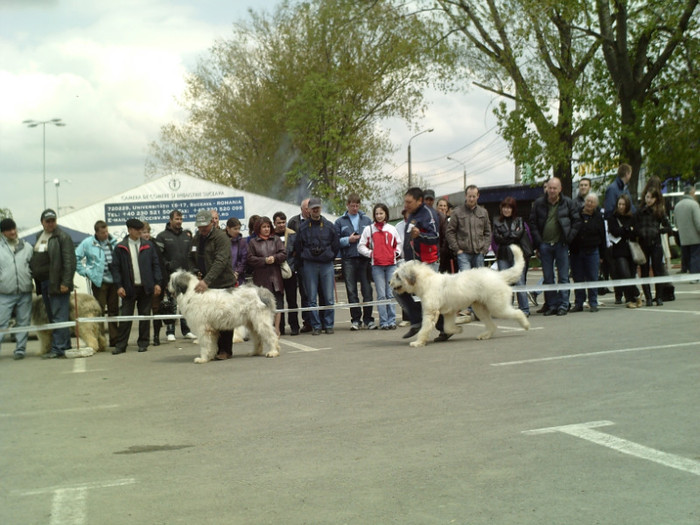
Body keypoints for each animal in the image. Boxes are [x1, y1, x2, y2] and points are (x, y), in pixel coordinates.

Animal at [388, 245, 532, 346]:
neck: (426, 282)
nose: (389, 283)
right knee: (492, 324)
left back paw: (526, 325)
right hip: (480, 308)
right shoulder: (449, 312)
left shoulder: (430, 313)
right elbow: (447, 327)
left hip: (497, 306)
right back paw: (485, 335)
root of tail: (498, 275)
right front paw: (458, 330)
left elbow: (425, 328)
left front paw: (418, 342)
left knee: (518, 312)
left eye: (397, 276)